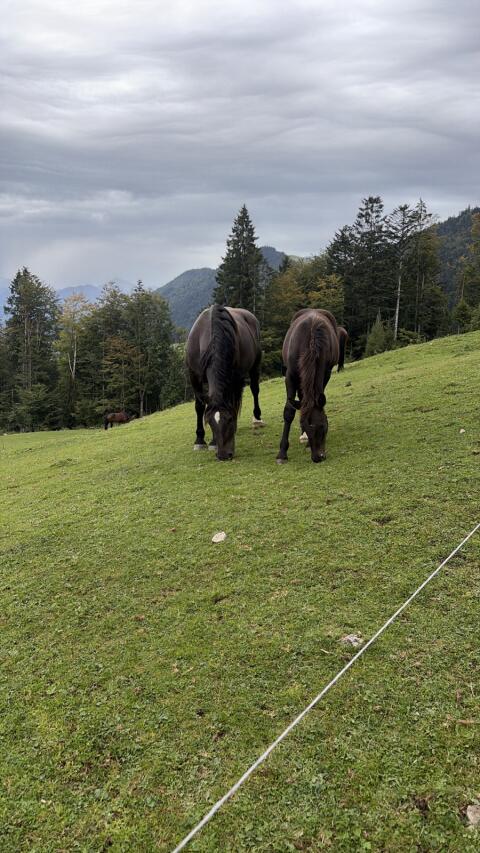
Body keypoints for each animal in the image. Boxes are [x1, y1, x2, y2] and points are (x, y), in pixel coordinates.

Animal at [185, 304, 264, 460]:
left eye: (229, 420)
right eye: (209, 421)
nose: (223, 455)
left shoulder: (233, 377)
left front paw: (213, 442)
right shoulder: (194, 377)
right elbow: (199, 406)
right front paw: (200, 440)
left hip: (254, 365)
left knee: (254, 389)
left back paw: (257, 418)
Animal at [276, 309, 339, 464]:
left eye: (323, 426)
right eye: (306, 425)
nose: (319, 457)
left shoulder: (326, 371)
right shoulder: (290, 375)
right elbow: (289, 411)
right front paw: (282, 453)